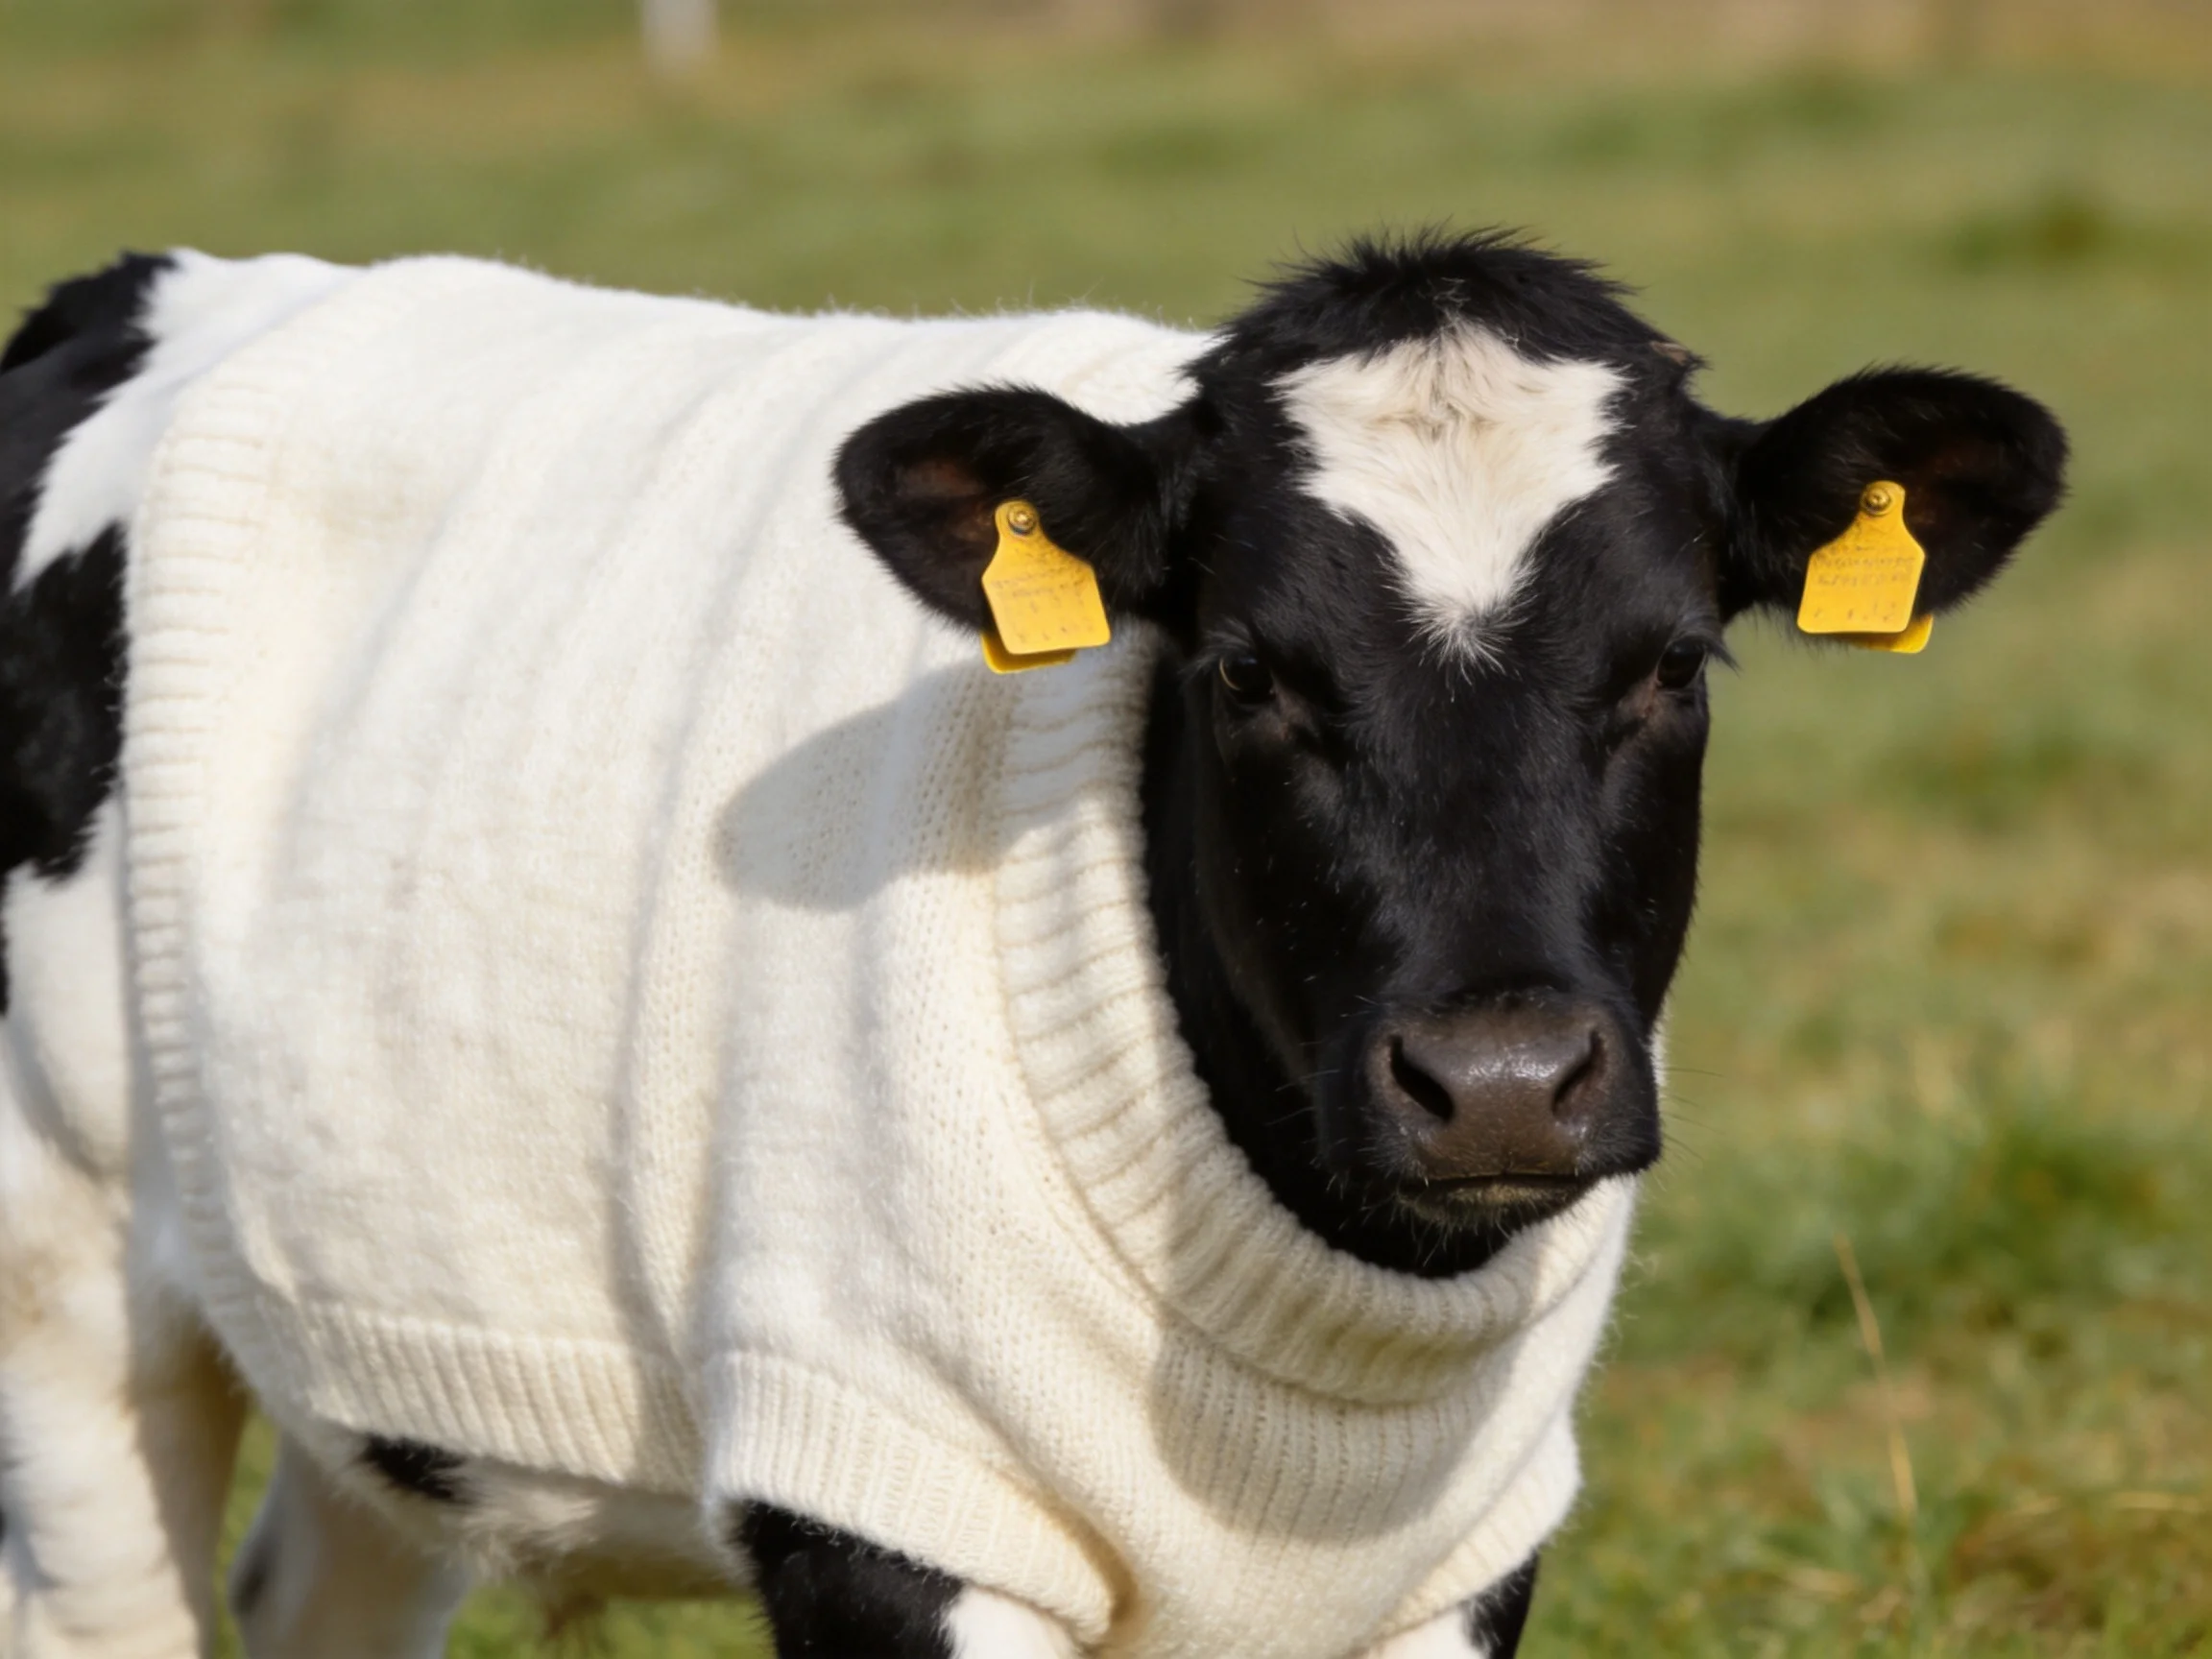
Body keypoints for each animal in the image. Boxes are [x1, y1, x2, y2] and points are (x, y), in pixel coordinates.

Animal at [0, 235, 2064, 1659]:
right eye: (1244, 672)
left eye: (1670, 666)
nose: (1495, 1080)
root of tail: (153, 283)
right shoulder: (878, 1505)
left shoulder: (1463, 1552)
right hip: (66, 1284)